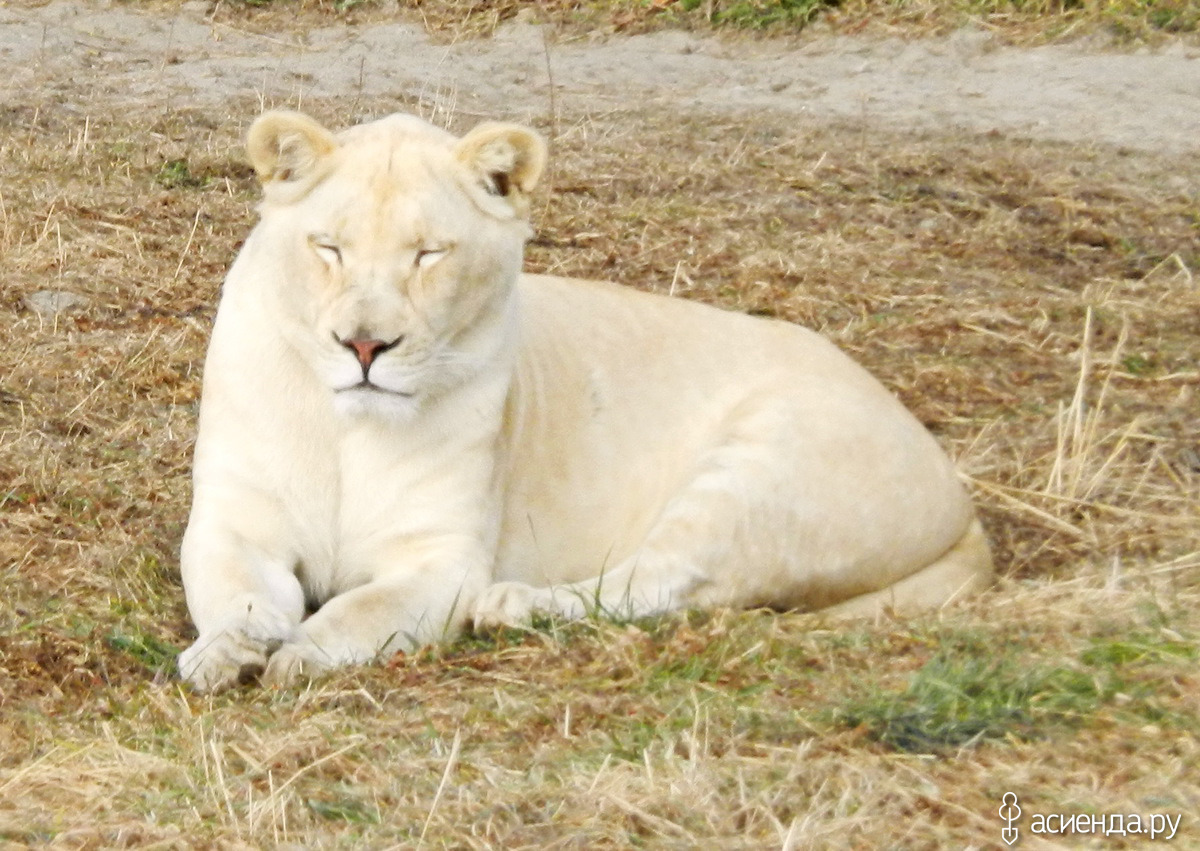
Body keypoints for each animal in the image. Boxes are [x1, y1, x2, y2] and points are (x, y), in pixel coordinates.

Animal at [174, 109, 988, 691]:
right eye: (329, 247)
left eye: (430, 254)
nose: (365, 346)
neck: (351, 431)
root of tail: (959, 493)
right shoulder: (234, 521)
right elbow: (236, 590)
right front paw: (226, 650)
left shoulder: (444, 558)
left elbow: (361, 610)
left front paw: (301, 653)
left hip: (760, 465)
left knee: (665, 582)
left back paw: (513, 608)